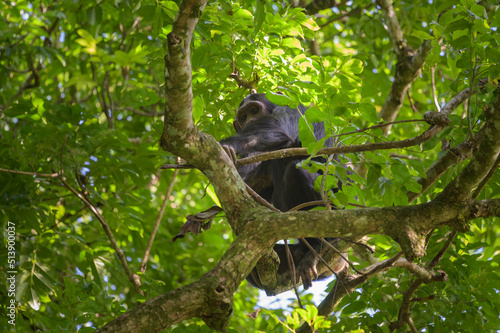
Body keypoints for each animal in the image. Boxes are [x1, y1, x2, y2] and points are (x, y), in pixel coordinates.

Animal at [221, 93, 346, 288]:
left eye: (254, 110)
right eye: (243, 117)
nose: (250, 121)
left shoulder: (290, 109)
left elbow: (277, 130)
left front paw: (226, 145)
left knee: (295, 171)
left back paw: (321, 245)